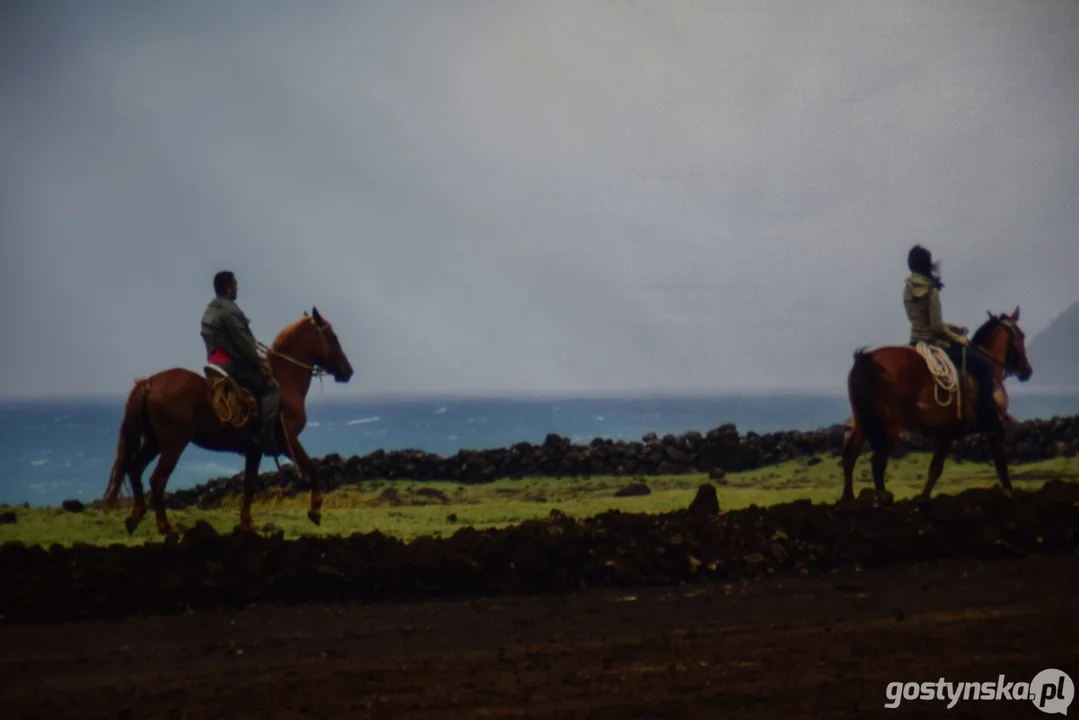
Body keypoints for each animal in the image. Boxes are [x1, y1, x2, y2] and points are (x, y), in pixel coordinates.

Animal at [103, 306, 353, 535]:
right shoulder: (287, 441)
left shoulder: (254, 449)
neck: (286, 383)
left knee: (134, 468)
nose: (348, 371)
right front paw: (315, 510)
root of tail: (150, 382)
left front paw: (246, 523)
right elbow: (313, 468)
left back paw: (135, 516)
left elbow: (249, 484)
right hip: (173, 444)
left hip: (155, 441)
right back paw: (165, 527)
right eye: (332, 337)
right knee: (157, 479)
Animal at [837, 306, 1031, 505]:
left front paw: (922, 497)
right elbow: (998, 459)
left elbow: (935, 468)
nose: (1027, 371)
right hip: (889, 427)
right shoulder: (987, 428)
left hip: (861, 422)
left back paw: (847, 498)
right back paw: (882, 499)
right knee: (877, 462)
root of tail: (866, 358)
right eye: (1021, 335)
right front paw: (1008, 491)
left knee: (850, 455)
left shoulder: (945, 433)